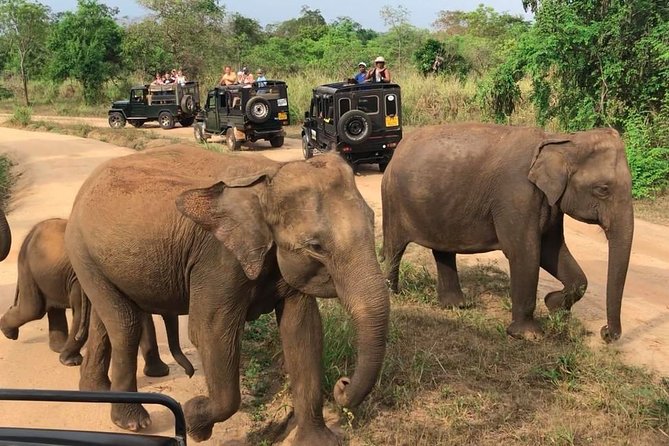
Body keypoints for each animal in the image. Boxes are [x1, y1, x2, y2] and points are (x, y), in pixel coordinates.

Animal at [0, 217, 194, 377]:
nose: (189, 373)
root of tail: (31, 232)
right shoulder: (82, 278)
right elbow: (81, 313)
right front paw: (70, 362)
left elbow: (144, 319)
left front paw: (159, 373)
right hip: (27, 268)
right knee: (33, 309)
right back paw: (9, 333)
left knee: (52, 308)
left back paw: (57, 348)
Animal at [64, 145, 389, 444]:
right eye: (316, 246)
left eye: (373, 220)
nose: (342, 384)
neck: (269, 177)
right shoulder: (218, 260)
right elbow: (211, 332)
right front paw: (193, 421)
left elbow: (303, 330)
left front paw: (317, 442)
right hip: (83, 251)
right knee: (124, 326)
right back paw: (133, 422)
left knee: (108, 320)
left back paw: (94, 391)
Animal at [381, 123, 633, 342]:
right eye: (603, 189)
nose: (606, 333)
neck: (558, 140)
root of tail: (397, 151)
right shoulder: (517, 196)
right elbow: (524, 253)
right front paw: (529, 336)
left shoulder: (550, 203)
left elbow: (552, 252)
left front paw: (552, 304)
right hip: (392, 199)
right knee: (395, 248)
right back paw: (393, 293)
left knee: (443, 250)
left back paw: (456, 305)